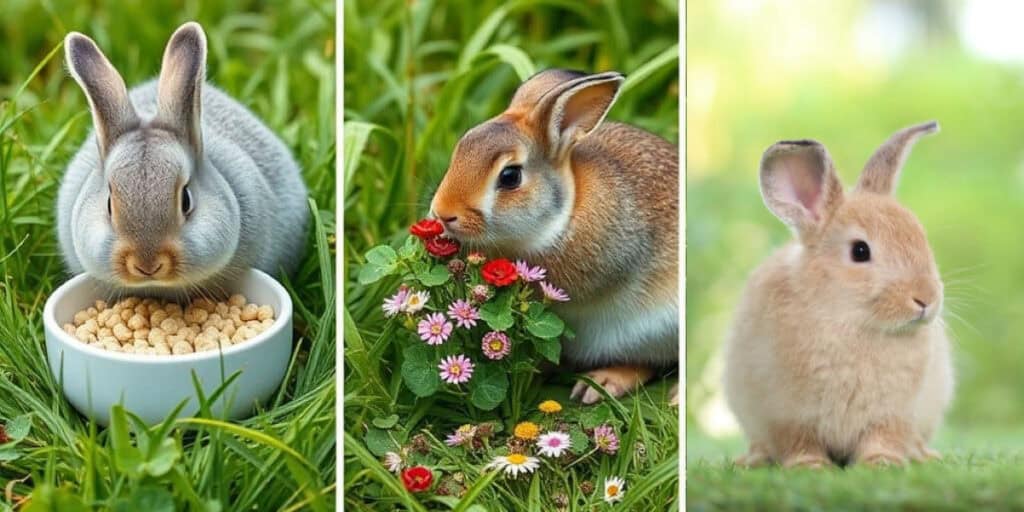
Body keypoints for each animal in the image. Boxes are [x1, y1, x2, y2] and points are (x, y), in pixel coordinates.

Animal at [723, 121, 954, 468]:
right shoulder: (787, 412)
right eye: (860, 251)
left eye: (920, 237)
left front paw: (882, 463)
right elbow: (799, 441)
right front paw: (809, 467)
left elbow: (884, 437)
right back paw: (753, 460)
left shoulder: (892, 413)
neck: (847, 320)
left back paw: (926, 456)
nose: (926, 299)